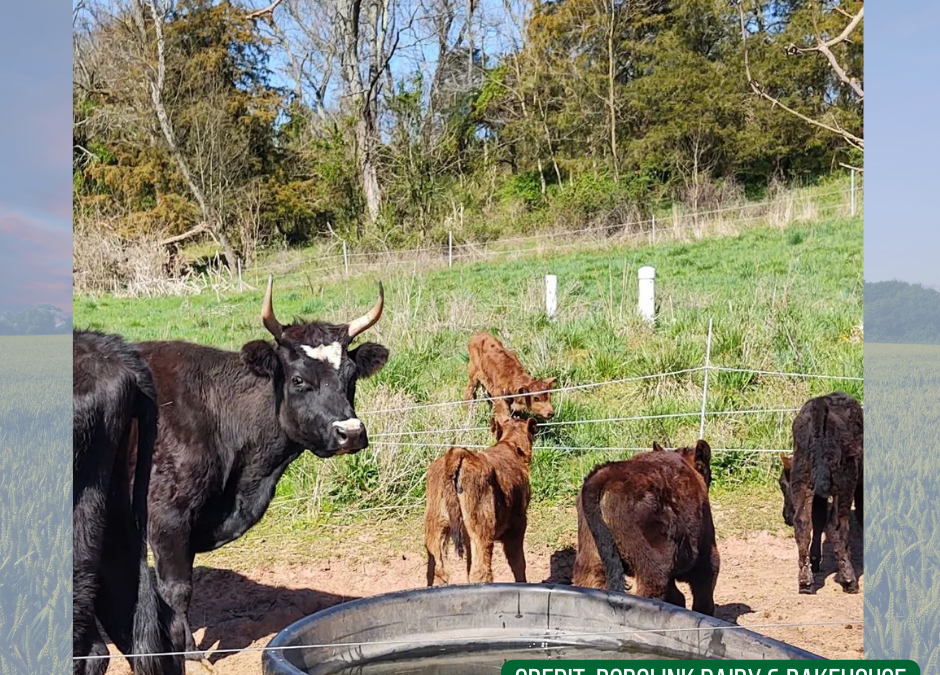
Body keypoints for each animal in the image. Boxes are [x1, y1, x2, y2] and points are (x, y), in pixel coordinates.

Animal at [136, 274, 390, 660]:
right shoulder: (167, 515)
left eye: (351, 376)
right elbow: (176, 588)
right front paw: (188, 652)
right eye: (298, 379)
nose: (351, 433)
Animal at [424, 412, 536, 588]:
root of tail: (457, 454)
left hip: (437, 526)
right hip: (482, 528)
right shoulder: (518, 523)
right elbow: (518, 562)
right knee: (480, 571)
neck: (511, 446)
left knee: (440, 571)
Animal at [784, 394, 864, 596]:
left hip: (803, 481)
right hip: (844, 485)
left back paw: (805, 582)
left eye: (782, 484)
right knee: (837, 525)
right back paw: (849, 580)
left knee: (803, 523)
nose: (785, 516)